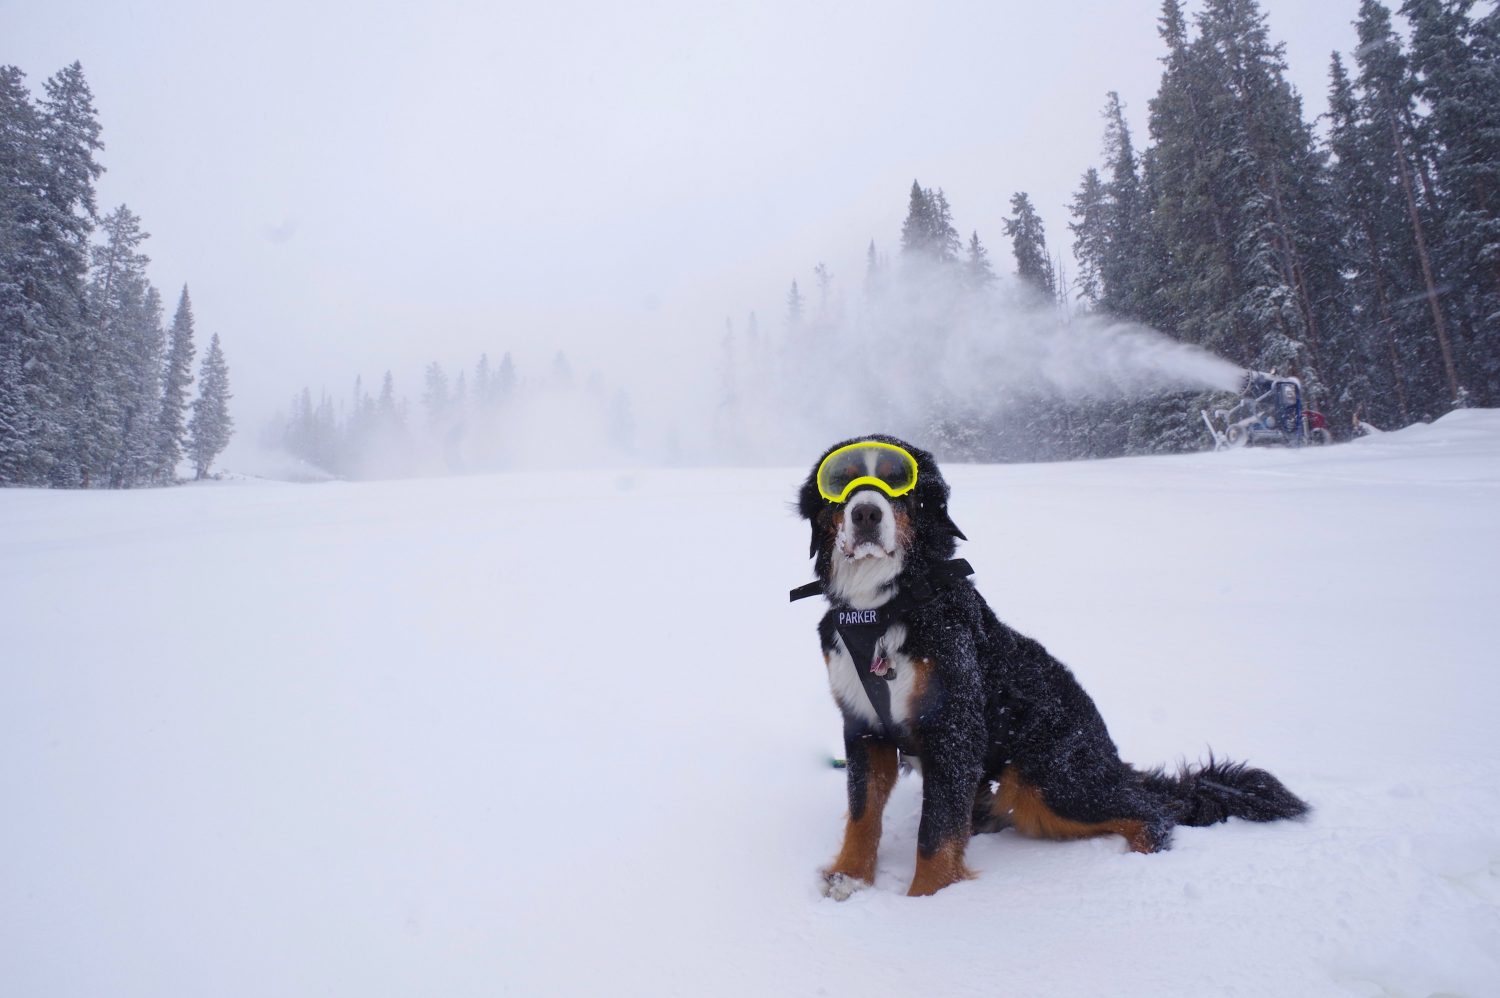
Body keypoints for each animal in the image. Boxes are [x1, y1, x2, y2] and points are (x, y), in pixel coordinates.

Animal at [792, 432, 1308, 900]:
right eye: (841, 482)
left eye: (899, 482)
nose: (865, 513)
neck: (882, 609)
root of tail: (1112, 757)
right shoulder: (864, 726)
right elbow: (863, 812)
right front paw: (850, 878)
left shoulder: (953, 730)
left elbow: (935, 836)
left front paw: (926, 905)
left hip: (1042, 781)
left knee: (1151, 810)